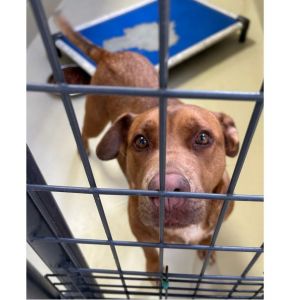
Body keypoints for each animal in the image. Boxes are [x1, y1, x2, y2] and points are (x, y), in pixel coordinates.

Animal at [56, 17, 239, 274]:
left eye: (203, 138)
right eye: (141, 141)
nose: (168, 189)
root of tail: (110, 55)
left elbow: (207, 237)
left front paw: (205, 250)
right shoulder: (141, 234)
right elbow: (150, 252)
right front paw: (154, 270)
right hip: (96, 118)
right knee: (83, 130)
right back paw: (84, 148)